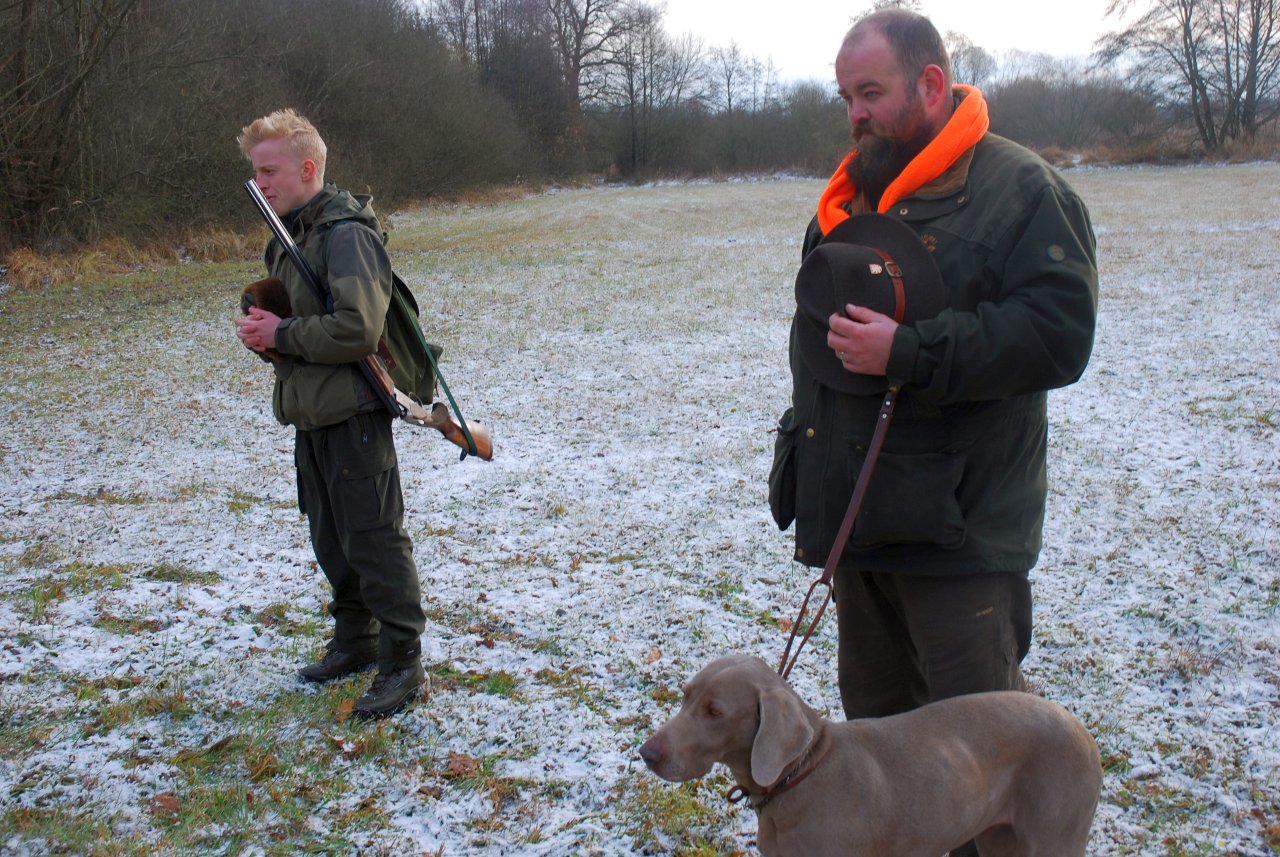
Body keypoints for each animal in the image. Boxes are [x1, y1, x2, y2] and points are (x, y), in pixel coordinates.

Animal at [639, 655, 1102, 856]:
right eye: (685, 696)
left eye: (715, 712)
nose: (647, 753)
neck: (798, 776)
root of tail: (1083, 731)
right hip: (999, 838)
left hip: (1055, 838)